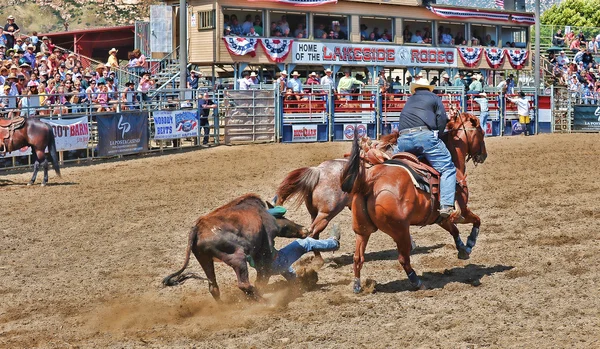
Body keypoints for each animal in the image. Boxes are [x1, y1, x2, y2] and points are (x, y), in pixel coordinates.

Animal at [274, 111, 486, 260]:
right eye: (482, 133)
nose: (483, 155)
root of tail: (318, 170)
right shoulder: (456, 210)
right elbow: (470, 221)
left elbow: (453, 229)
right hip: (326, 213)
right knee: (311, 233)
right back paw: (319, 259)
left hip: (316, 212)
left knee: (313, 234)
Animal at [338, 113, 488, 290]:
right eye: (482, 133)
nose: (483, 155)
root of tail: (369, 181)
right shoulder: (462, 210)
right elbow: (477, 220)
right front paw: (470, 243)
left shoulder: (440, 217)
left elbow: (454, 231)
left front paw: (462, 249)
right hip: (400, 230)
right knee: (403, 259)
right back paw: (417, 282)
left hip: (362, 230)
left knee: (358, 257)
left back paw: (357, 285)